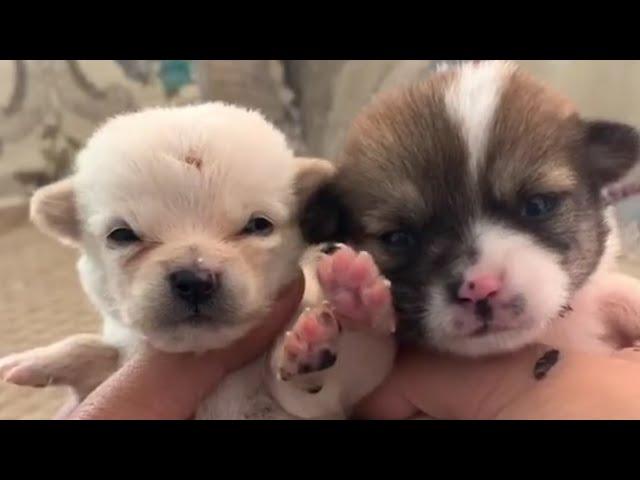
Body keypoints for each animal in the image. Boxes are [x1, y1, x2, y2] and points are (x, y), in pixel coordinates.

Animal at [0, 103, 396, 418]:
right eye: (122, 235)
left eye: (258, 225)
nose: (194, 279)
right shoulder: (123, 352)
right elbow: (101, 352)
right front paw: (41, 360)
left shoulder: (326, 402)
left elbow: (322, 377)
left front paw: (351, 301)